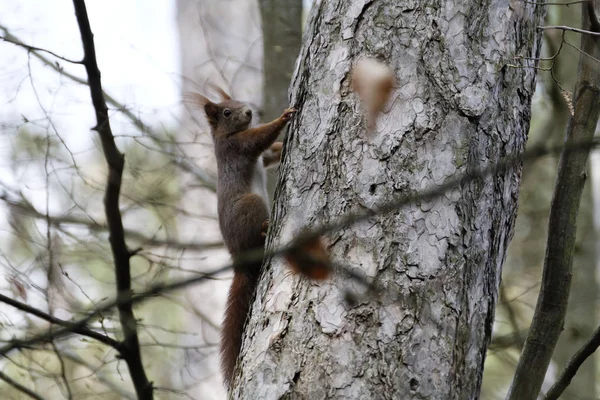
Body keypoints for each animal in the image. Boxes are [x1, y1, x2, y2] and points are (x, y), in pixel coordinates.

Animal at [188, 86, 296, 388]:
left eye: (239, 102)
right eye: (226, 112)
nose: (248, 112)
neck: (224, 136)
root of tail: (237, 257)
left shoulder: (261, 156)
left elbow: (270, 153)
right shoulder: (236, 148)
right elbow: (258, 139)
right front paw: (284, 117)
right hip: (250, 205)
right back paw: (265, 228)